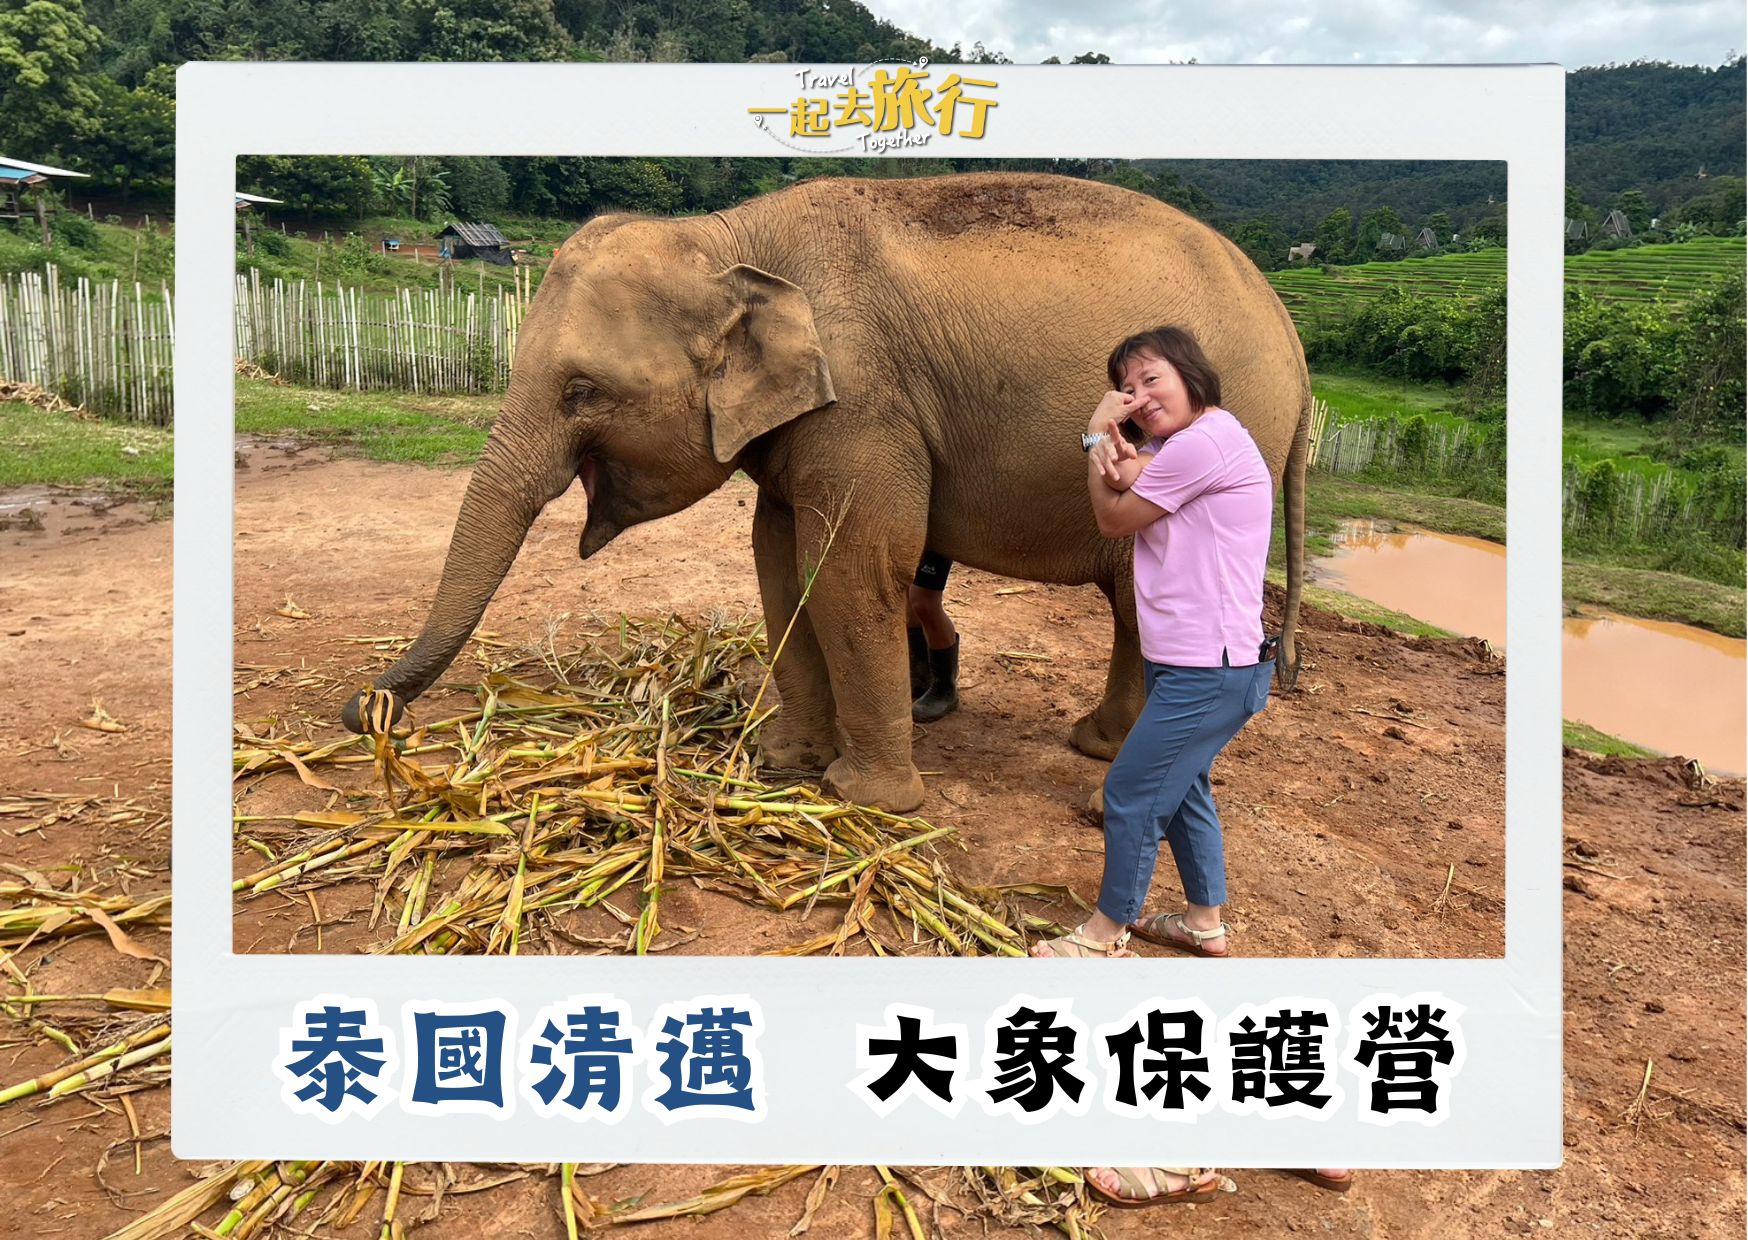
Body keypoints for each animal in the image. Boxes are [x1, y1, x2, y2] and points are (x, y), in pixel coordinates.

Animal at [341, 172, 1309, 814]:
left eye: (582, 390)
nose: (365, 712)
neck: (729, 240)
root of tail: (1294, 342)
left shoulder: (865, 399)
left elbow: (851, 564)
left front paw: (869, 800)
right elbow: (779, 561)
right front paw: (785, 765)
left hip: (1224, 440)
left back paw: (1111, 770)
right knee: (1132, 595)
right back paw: (1098, 746)